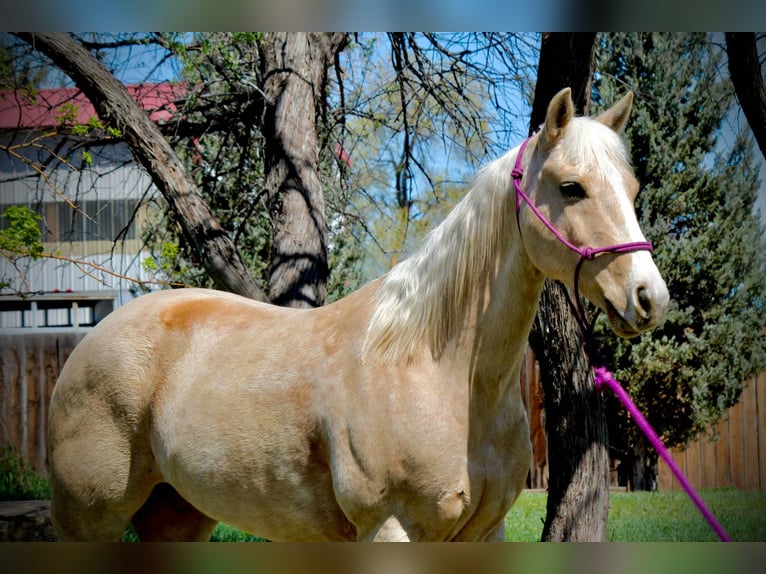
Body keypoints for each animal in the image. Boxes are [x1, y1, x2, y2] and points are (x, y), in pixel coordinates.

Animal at [47, 88, 669, 541]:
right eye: (572, 187)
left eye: (633, 186)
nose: (649, 298)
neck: (438, 369)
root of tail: (90, 342)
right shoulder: (391, 527)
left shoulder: (482, 535)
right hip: (89, 520)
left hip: (176, 514)